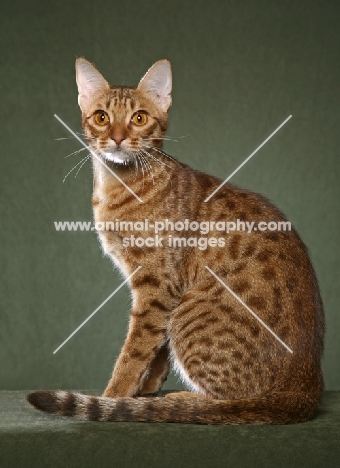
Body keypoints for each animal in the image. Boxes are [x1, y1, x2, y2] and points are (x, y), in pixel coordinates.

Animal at [27, 56, 324, 422]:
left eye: (139, 118)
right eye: (102, 117)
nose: (117, 138)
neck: (119, 188)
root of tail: (306, 385)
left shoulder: (158, 284)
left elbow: (135, 350)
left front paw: (115, 396)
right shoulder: (157, 290)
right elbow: (156, 347)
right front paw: (148, 386)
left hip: (190, 310)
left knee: (232, 404)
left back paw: (184, 401)